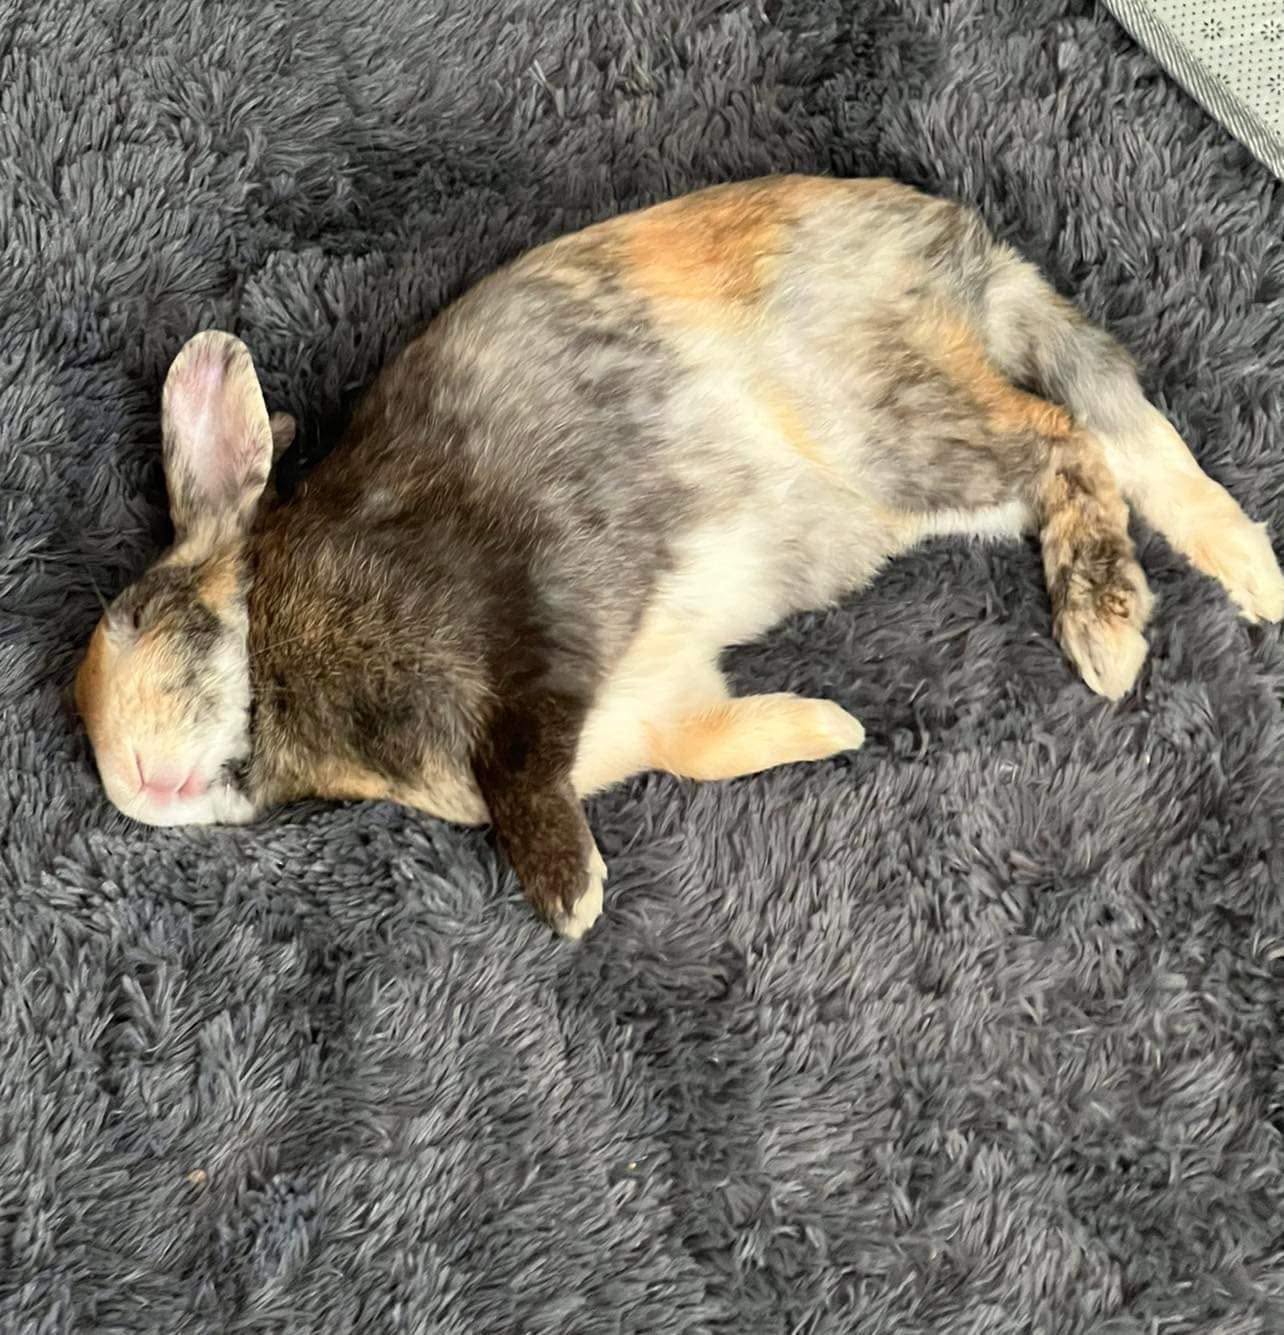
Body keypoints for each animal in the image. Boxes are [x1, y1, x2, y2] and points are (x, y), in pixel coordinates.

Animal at [75, 175, 1284, 939]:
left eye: (135, 616)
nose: (128, 785)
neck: (276, 638)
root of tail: (964, 261)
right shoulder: (659, 705)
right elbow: (708, 747)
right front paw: (828, 729)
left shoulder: (530, 618)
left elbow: (518, 762)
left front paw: (568, 896)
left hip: (893, 431)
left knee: (1069, 442)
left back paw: (1106, 625)